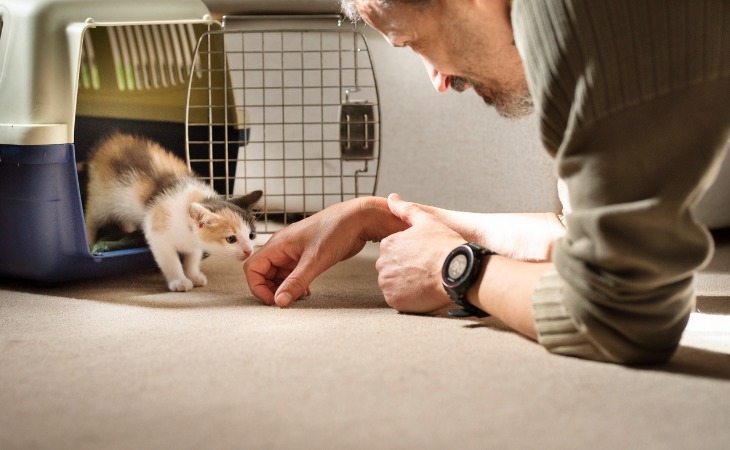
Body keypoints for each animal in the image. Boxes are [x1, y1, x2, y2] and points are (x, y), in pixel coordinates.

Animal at [85, 132, 262, 292]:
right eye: (231, 239)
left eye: (252, 235)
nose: (248, 250)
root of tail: (110, 140)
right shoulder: (157, 232)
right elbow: (170, 260)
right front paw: (179, 281)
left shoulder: (194, 242)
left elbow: (192, 256)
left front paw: (193, 274)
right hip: (101, 197)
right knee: (91, 218)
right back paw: (88, 240)